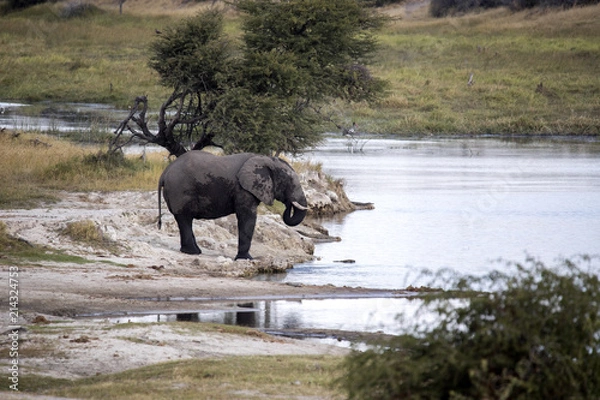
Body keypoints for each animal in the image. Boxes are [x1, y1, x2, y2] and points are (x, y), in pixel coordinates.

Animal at [158, 151, 310, 260]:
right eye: (288, 182)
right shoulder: (243, 189)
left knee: (185, 220)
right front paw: (246, 259)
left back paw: (194, 252)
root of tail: (165, 172)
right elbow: (247, 217)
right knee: (184, 218)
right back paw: (193, 252)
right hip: (180, 190)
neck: (264, 158)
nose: (289, 204)